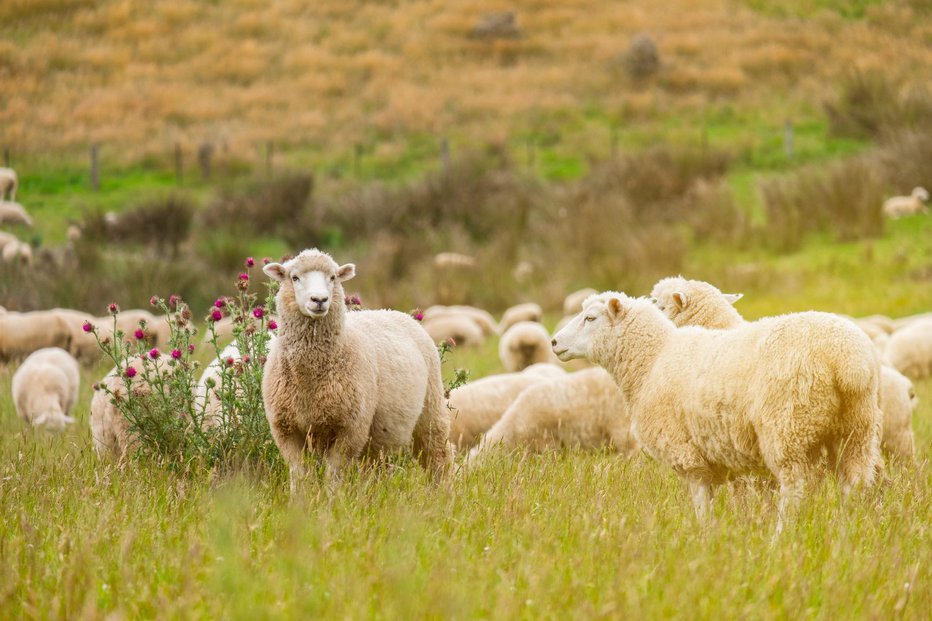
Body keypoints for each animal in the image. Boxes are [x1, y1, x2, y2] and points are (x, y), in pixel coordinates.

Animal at [262, 247, 456, 490]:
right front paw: (301, 500)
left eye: (333, 277)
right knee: (377, 468)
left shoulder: (350, 429)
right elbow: (300, 476)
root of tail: (393, 311)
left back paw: (442, 491)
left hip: (430, 409)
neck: (309, 380)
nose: (319, 300)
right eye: (294, 277)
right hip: (379, 436)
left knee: (438, 455)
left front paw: (331, 498)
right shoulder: (286, 429)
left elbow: (334, 475)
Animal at [552, 292, 880, 528]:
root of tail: (847, 359)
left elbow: (702, 504)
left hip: (788, 426)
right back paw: (845, 537)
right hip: (857, 429)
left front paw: (705, 540)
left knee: (795, 489)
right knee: (853, 487)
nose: (554, 342)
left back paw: (780, 540)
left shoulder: (687, 454)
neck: (652, 359)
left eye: (590, 318)